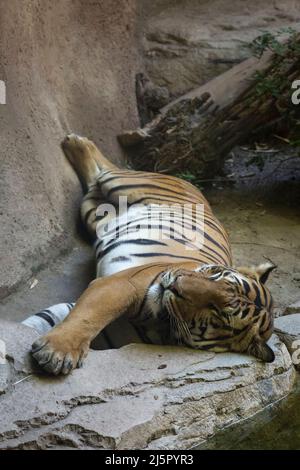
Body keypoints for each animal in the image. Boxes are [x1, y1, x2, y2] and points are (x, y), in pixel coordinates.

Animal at [23, 134, 276, 376]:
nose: (174, 284)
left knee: (94, 185)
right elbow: (88, 315)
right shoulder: (121, 283)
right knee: (105, 170)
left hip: (95, 212)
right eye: (215, 272)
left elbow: (53, 319)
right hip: (121, 183)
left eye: (218, 312)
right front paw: (58, 350)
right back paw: (75, 141)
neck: (159, 323)